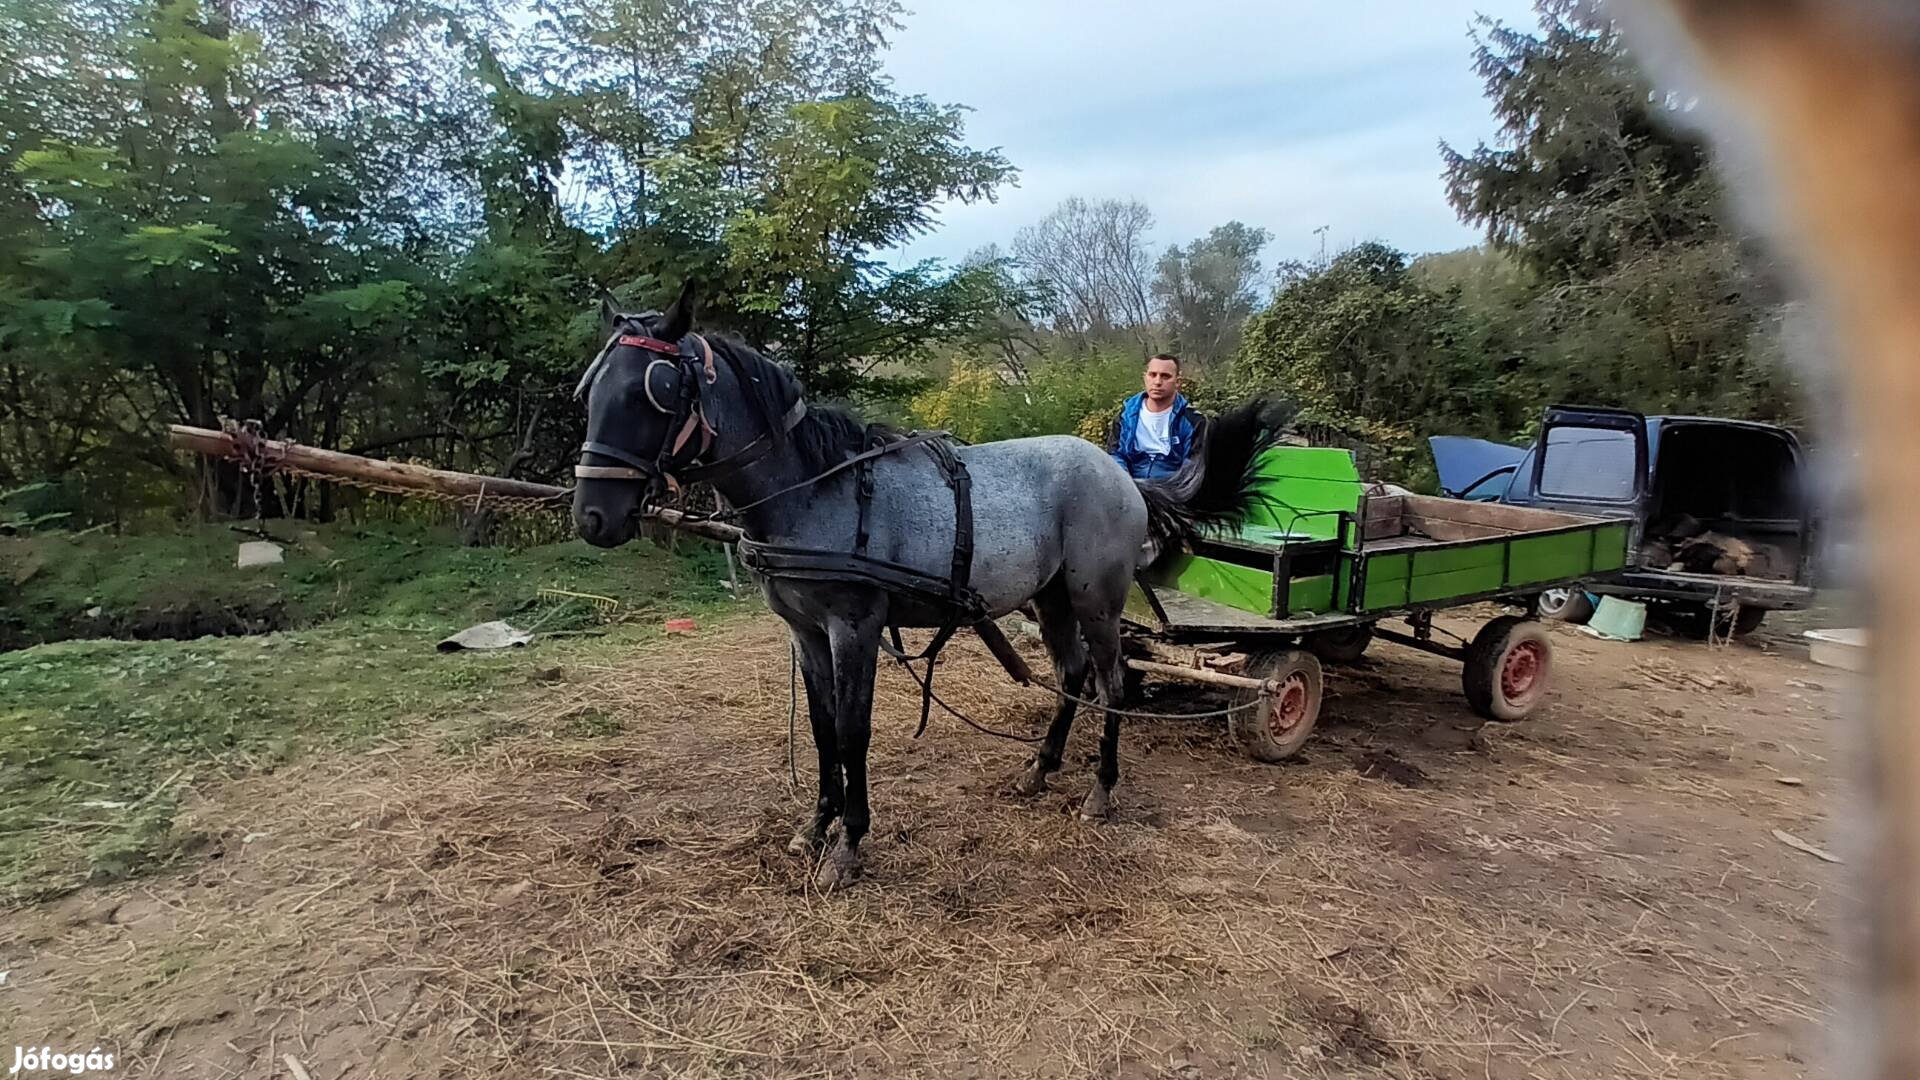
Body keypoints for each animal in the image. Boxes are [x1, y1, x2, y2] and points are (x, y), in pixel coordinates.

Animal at [572, 284, 1290, 883]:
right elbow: (823, 729)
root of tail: (1121, 475)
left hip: (1097, 600)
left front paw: (849, 845)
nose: (592, 515)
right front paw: (815, 826)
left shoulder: (855, 628)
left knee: (1112, 682)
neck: (813, 489)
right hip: (1050, 598)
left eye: (652, 391)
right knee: (1072, 674)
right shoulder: (806, 632)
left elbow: (853, 732)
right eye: (592, 391)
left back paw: (1101, 790)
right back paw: (1039, 769)